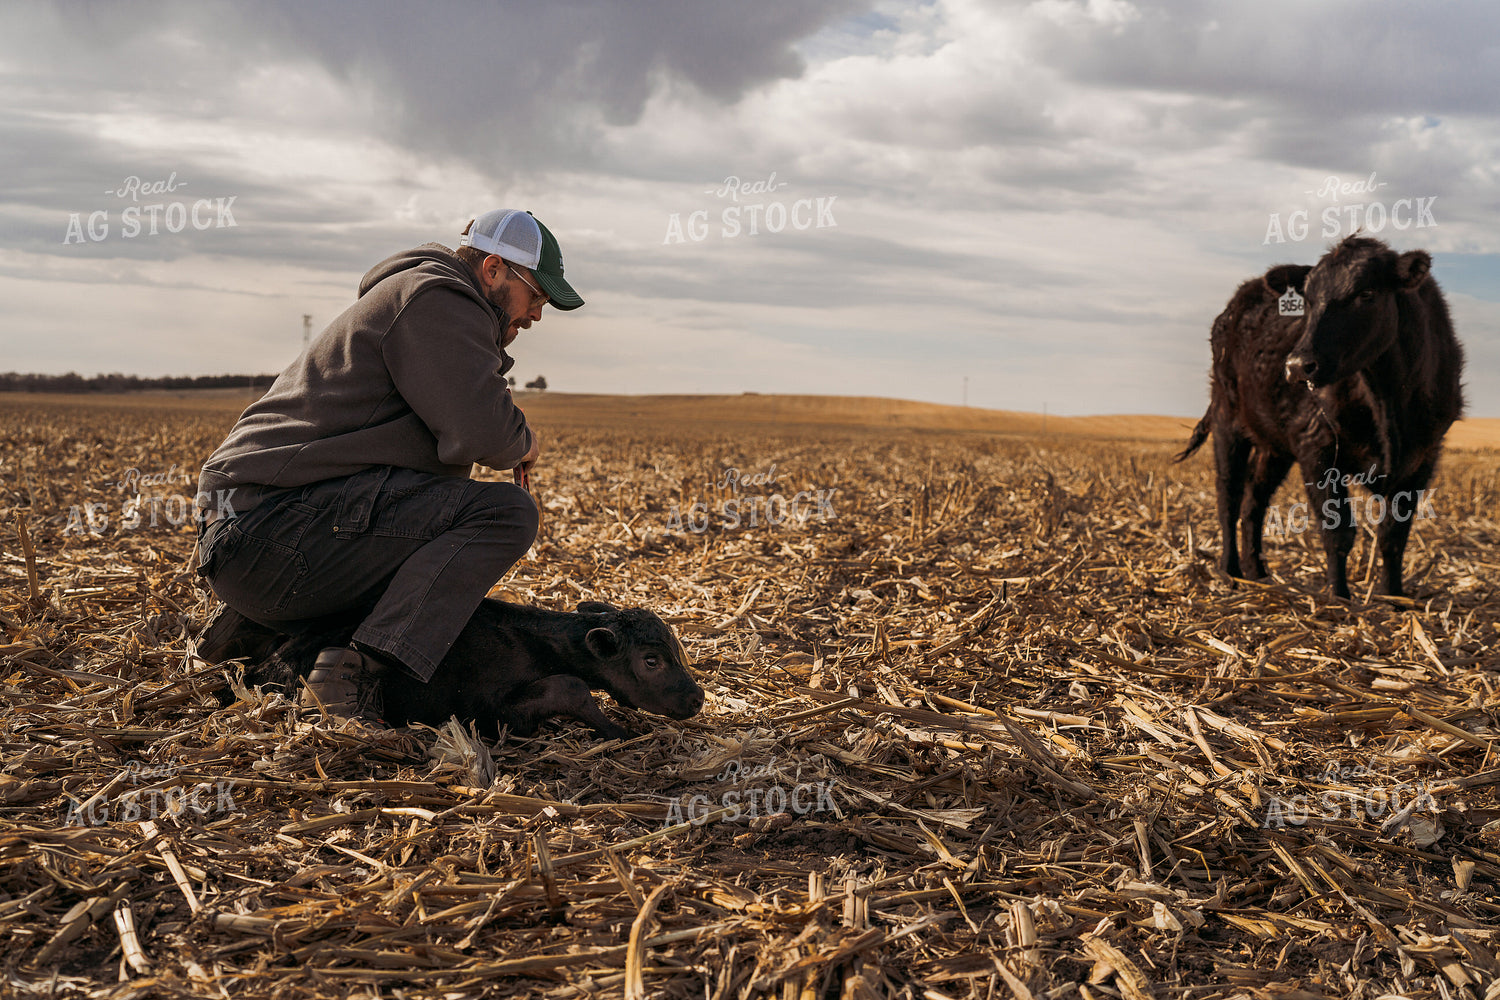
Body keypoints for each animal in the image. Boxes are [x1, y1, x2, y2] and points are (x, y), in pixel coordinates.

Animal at [1177, 235, 1464, 598]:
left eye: (1366, 294)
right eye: (1309, 301)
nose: (1298, 365)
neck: (1388, 402)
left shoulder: (1423, 459)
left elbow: (1393, 537)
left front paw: (1394, 597)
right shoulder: (1317, 449)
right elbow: (1338, 532)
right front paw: (1338, 596)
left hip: (1274, 446)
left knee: (1254, 502)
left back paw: (1257, 573)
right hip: (1227, 420)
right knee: (1229, 496)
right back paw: (1229, 571)